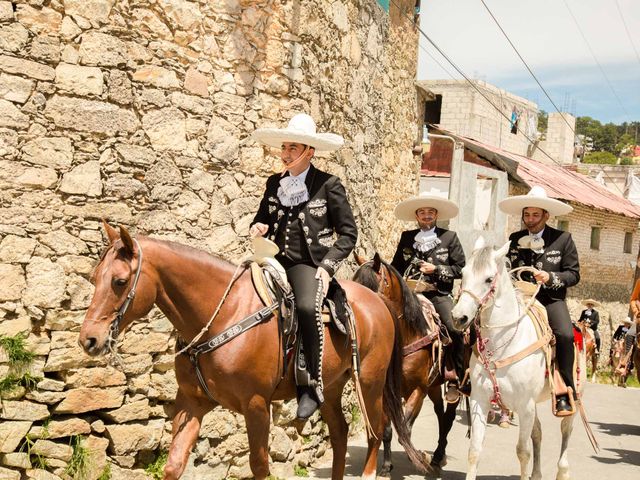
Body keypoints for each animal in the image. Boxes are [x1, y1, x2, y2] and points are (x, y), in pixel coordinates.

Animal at [81, 223, 430, 478]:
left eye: (119, 281)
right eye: (93, 278)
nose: (89, 339)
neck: (225, 313)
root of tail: (378, 302)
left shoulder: (257, 405)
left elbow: (260, 467)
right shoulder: (192, 402)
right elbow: (174, 464)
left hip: (369, 383)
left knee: (375, 432)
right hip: (330, 387)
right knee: (341, 433)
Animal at [350, 251, 460, 476]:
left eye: (371, 284)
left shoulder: (417, 390)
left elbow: (405, 427)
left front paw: (418, 458)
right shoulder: (387, 392)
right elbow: (387, 429)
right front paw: (386, 466)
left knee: (448, 417)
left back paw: (438, 456)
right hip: (433, 387)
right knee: (439, 412)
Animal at [450, 242, 584, 478]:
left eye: (488, 279)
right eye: (464, 274)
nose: (459, 317)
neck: (501, 346)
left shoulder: (525, 406)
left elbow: (522, 451)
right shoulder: (480, 400)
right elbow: (474, 450)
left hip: (573, 398)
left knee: (566, 430)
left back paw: (563, 471)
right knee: (538, 432)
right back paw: (537, 474)